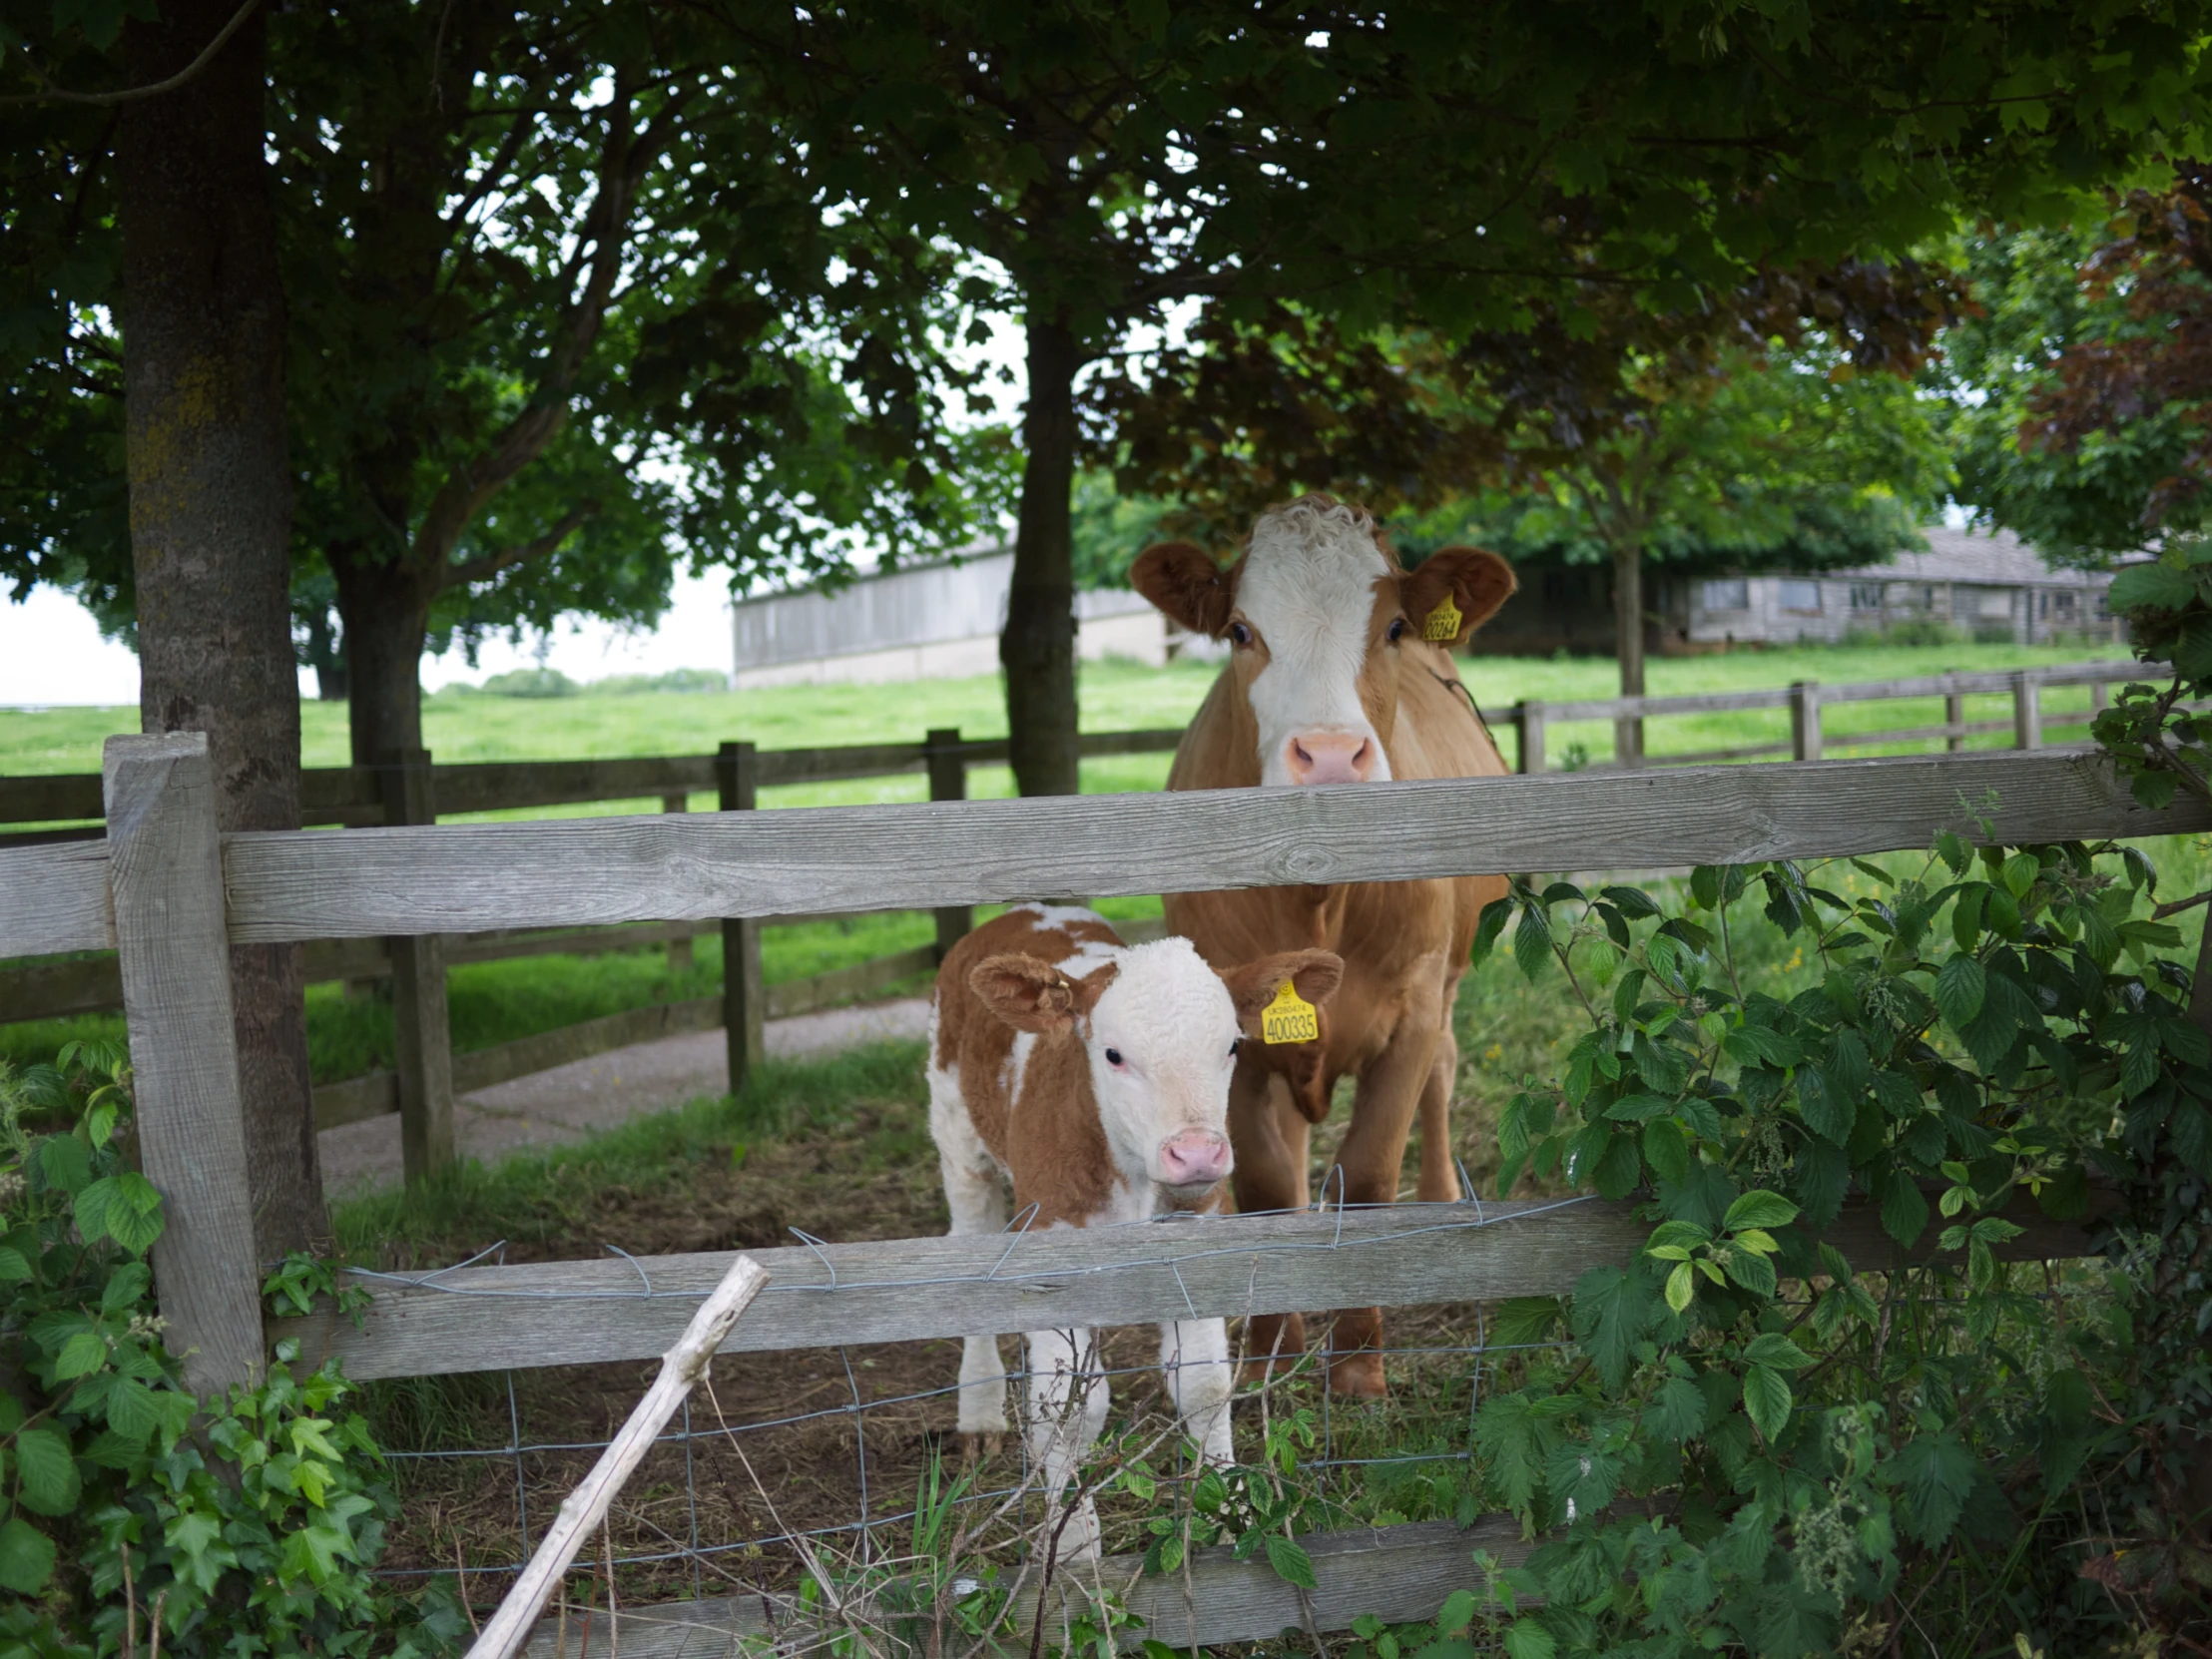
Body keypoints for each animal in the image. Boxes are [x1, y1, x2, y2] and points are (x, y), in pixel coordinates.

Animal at [924, 902, 1336, 1565]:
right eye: (1114, 1055)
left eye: (1231, 1046)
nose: (1196, 1153)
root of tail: (1024, 910)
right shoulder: (1051, 1252)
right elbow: (1068, 1408)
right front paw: (1074, 1550)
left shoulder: (1198, 1238)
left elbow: (1204, 1384)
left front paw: (1233, 1518)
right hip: (958, 1137)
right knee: (968, 1239)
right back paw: (980, 1413)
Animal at [1132, 497, 1512, 1406]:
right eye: (1239, 630)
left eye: (1395, 625)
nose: (1332, 756)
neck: (1319, 892)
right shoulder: (1232, 1024)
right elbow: (1269, 1185)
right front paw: (1273, 1349)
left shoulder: (1411, 1009)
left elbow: (1369, 1174)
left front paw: (1359, 1366)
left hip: (1450, 981)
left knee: (1445, 1072)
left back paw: (1439, 1199)